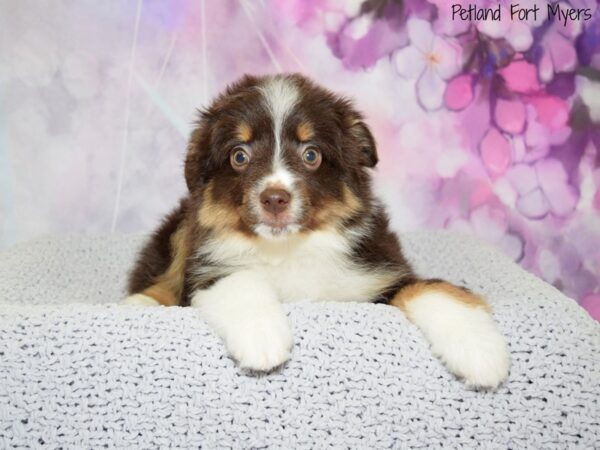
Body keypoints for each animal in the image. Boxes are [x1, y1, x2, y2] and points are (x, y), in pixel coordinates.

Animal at [124, 73, 508, 386]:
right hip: (180, 227)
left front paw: (481, 351)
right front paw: (261, 336)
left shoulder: (379, 272)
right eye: (239, 156)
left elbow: (429, 289)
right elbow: (239, 279)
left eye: (311, 155)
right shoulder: (206, 270)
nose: (274, 199)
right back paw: (138, 302)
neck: (290, 248)